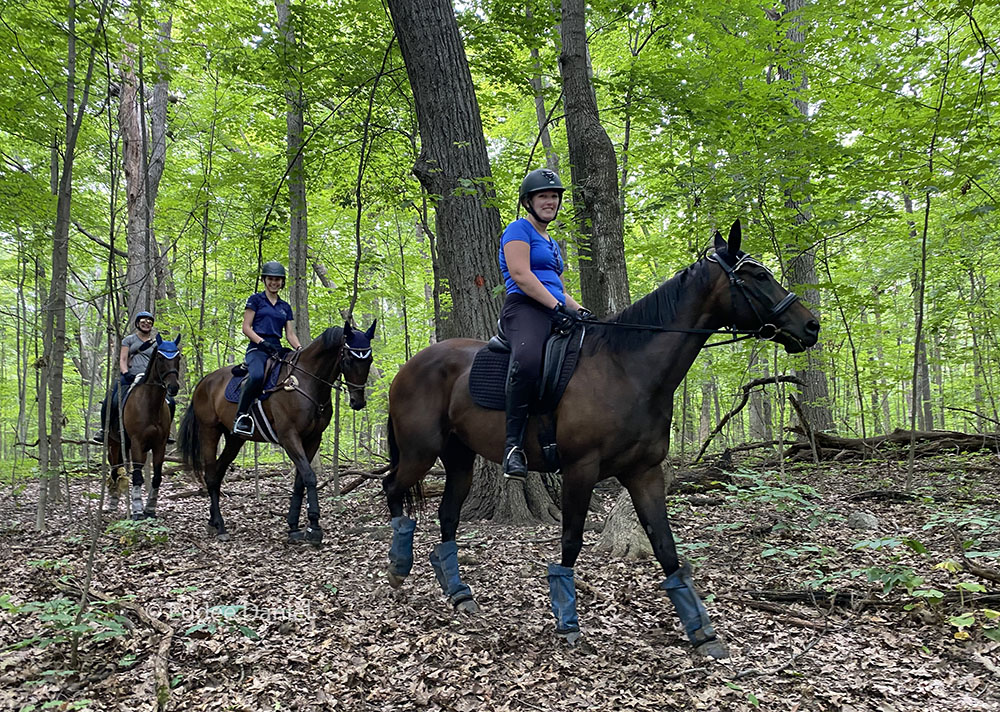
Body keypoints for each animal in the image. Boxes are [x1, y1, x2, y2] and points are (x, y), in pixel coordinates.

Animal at [107, 330, 182, 520]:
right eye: (160, 358)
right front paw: (138, 511)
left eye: (178, 357)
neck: (150, 405)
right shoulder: (137, 443)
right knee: (115, 469)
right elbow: (137, 477)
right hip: (114, 443)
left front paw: (150, 509)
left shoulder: (159, 445)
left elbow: (156, 477)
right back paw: (113, 502)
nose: (173, 387)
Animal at [178, 322, 376, 544]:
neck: (307, 382)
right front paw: (314, 527)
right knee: (211, 474)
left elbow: (300, 480)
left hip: (234, 439)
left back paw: (213, 521)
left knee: (219, 472)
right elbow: (309, 476)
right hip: (209, 431)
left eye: (369, 360)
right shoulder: (289, 436)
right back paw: (220, 526)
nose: (358, 402)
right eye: (349, 358)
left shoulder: (313, 439)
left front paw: (294, 526)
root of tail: (204, 382)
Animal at [382, 221, 820, 656]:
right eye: (758, 276)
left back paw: (458, 592)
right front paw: (567, 622)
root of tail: (408, 367)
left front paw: (702, 632)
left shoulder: (644, 472)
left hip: (459, 457)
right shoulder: (581, 469)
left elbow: (666, 547)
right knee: (392, 488)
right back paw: (398, 566)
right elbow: (572, 539)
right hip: (421, 451)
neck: (627, 370)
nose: (811, 326)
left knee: (447, 514)